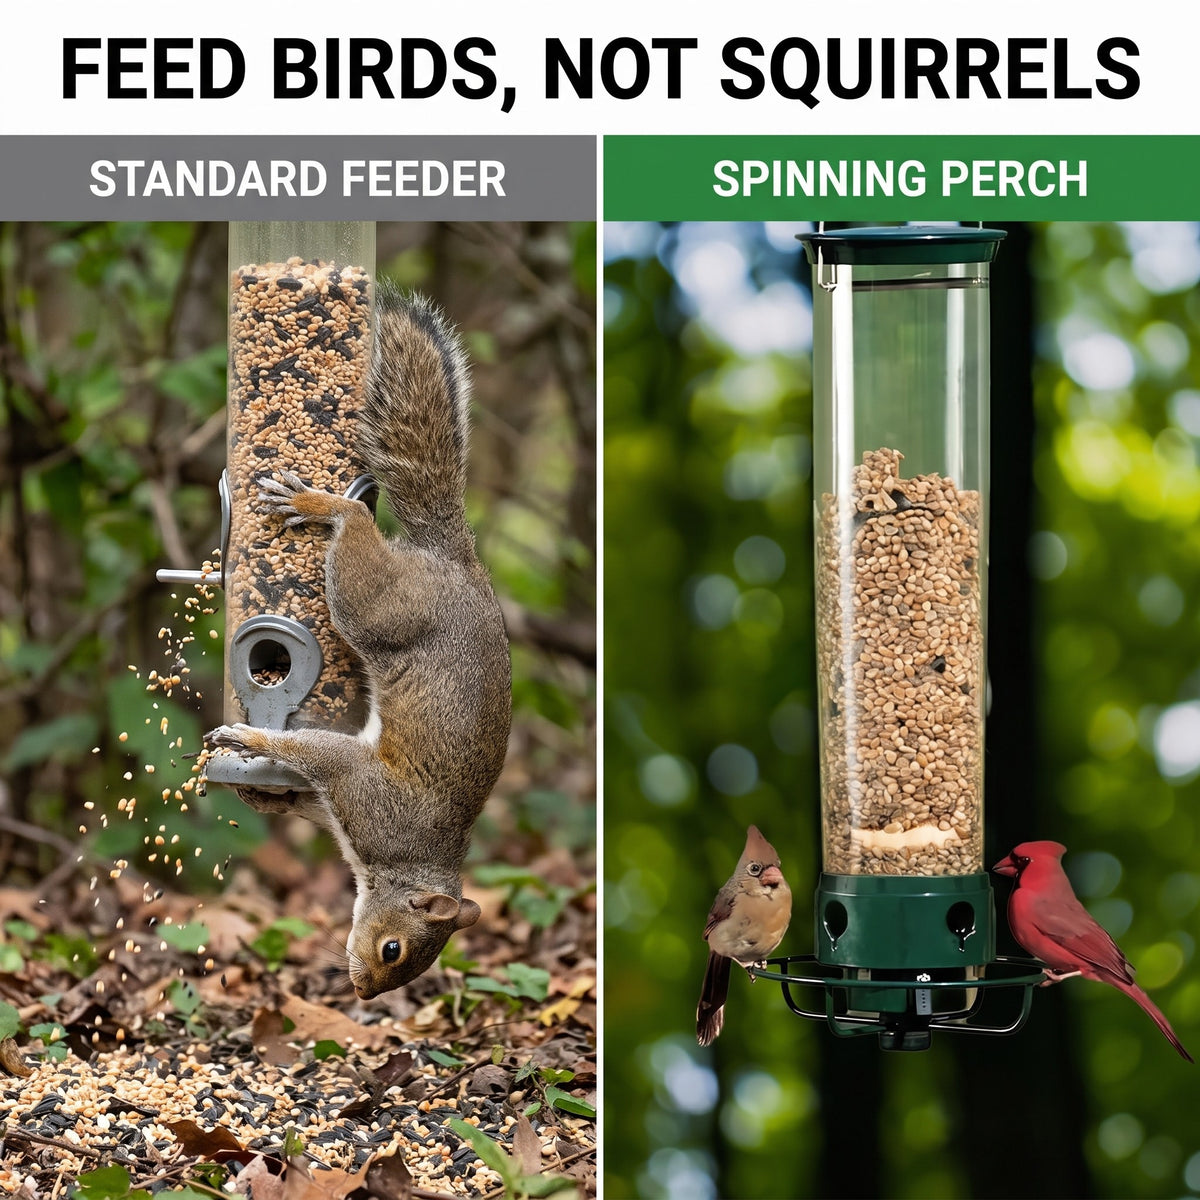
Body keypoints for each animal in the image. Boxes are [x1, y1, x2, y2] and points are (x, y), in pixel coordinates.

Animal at [206, 283, 512, 1000]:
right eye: (395, 949)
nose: (363, 992)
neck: (404, 859)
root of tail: (456, 559)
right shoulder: (366, 789)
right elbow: (318, 754)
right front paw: (252, 740)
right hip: (377, 605)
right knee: (354, 526)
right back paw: (322, 505)